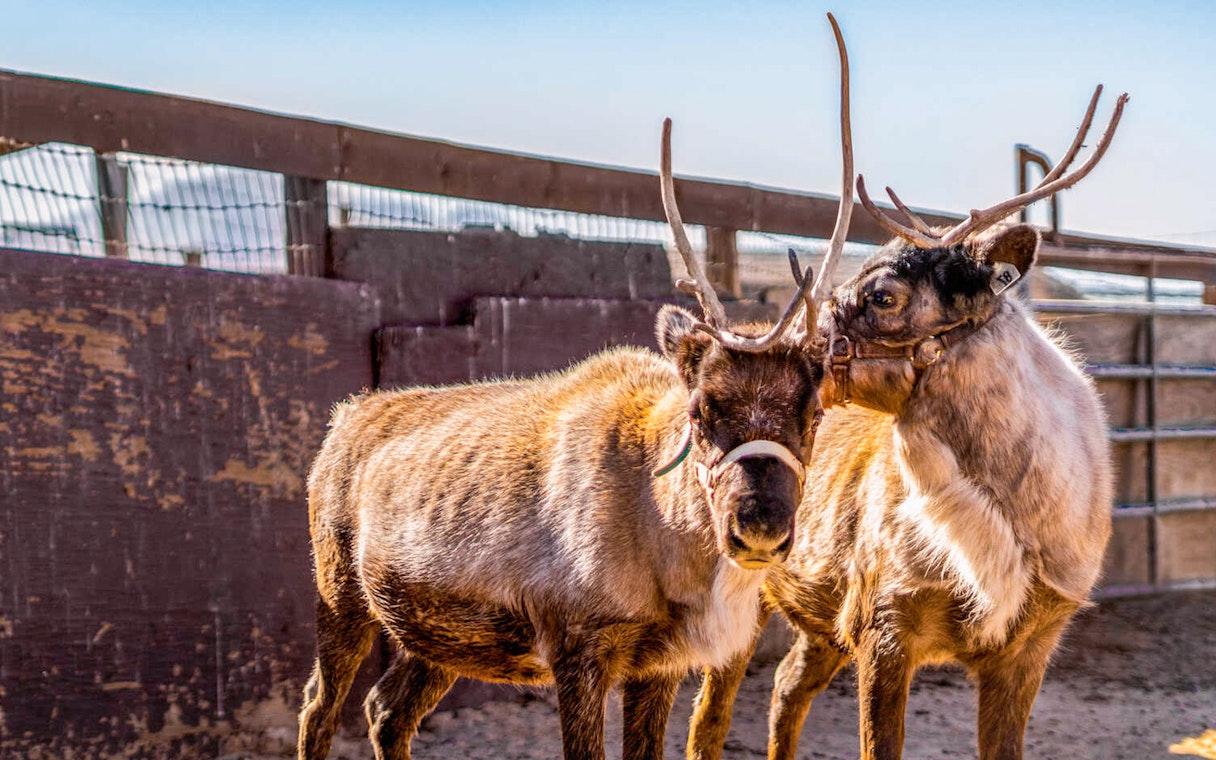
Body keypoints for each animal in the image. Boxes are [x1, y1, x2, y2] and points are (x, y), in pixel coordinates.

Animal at [295, 17, 855, 760]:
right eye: (701, 411)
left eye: (813, 411)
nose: (760, 526)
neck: (668, 538)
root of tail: (344, 417)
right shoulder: (580, 647)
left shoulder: (661, 663)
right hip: (339, 596)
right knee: (318, 708)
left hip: (436, 635)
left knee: (386, 709)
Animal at [686, 86, 1125, 760]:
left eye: (884, 295)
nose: (761, 353)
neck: (1009, 517)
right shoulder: (884, 625)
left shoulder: (1031, 645)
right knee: (709, 715)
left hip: (820, 619)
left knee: (785, 685)